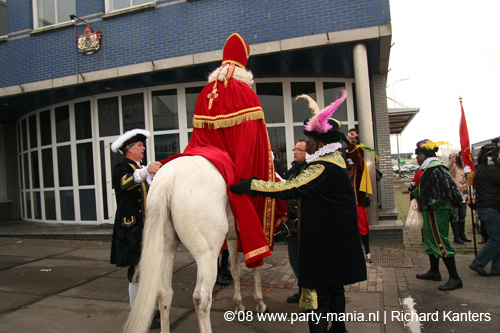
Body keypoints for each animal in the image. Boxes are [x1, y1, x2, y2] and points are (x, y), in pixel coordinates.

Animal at [122, 156, 268, 332]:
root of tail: (168, 177)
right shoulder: (257, 233)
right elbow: (257, 267)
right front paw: (260, 304)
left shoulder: (233, 237)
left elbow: (236, 270)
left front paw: (239, 306)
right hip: (207, 254)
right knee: (201, 299)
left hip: (165, 249)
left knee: (164, 293)